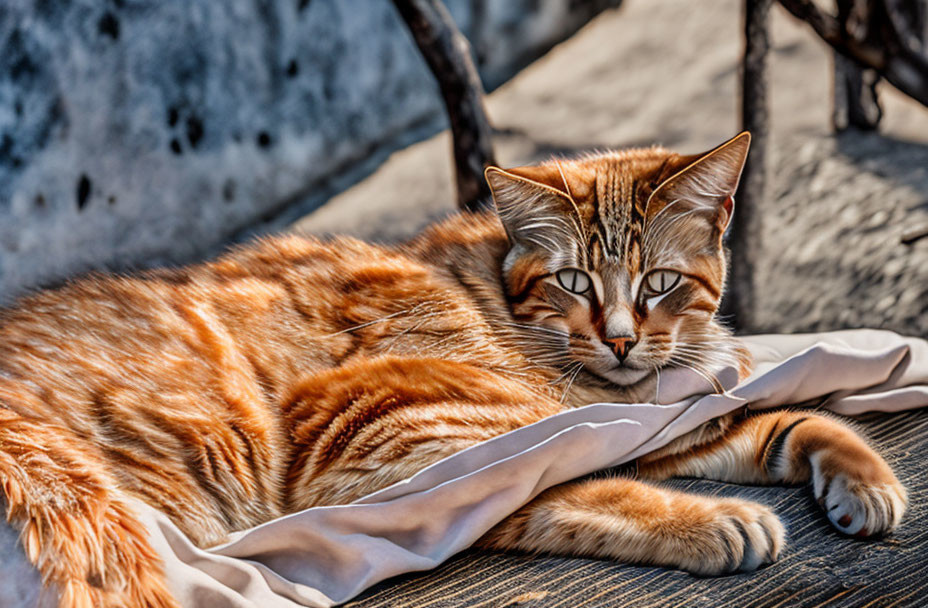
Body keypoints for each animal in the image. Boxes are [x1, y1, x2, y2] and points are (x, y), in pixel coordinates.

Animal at [0, 134, 904, 608]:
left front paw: (860, 477)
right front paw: (709, 517)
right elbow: (570, 483)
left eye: (658, 283)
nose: (618, 340)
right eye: (575, 281)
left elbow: (779, 421)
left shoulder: (649, 417)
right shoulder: (382, 441)